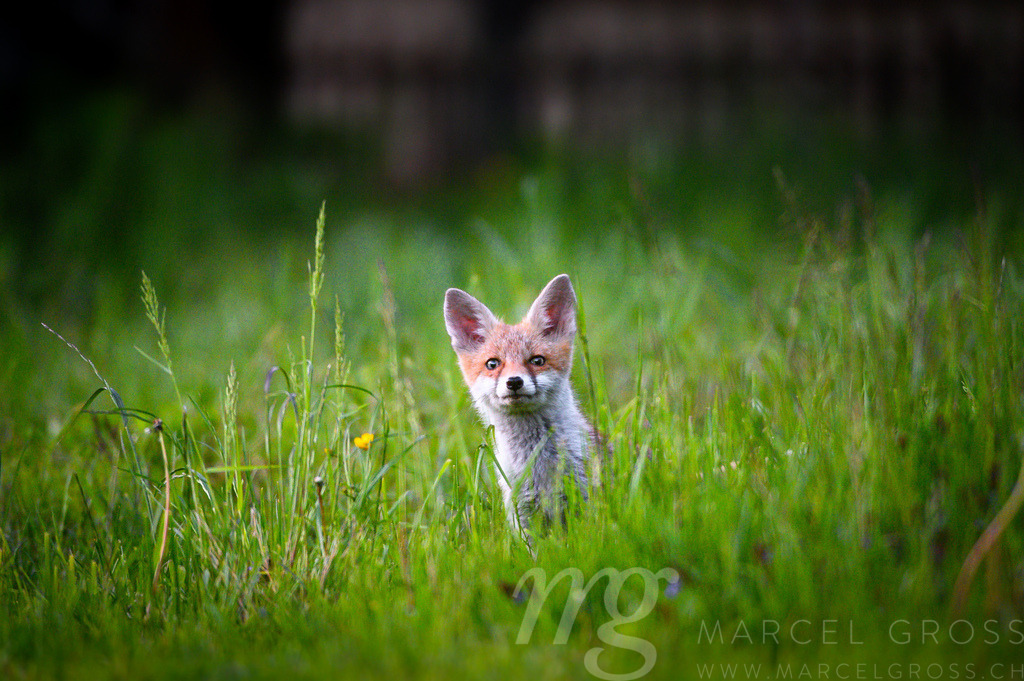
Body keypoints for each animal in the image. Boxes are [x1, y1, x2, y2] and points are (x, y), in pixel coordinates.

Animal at [444, 274, 592, 535]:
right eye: (493, 364)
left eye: (537, 361)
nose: (514, 382)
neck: (536, 461)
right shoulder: (521, 509)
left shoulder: (584, 497)